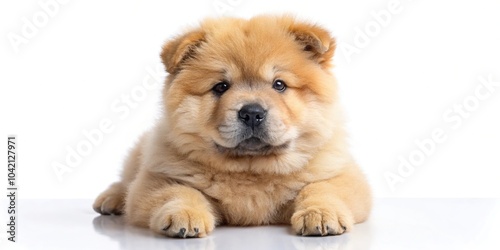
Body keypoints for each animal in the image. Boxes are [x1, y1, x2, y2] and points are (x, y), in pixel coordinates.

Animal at [93, 14, 372, 237]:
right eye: (221, 87)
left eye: (279, 85)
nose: (252, 112)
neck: (251, 170)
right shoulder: (158, 177)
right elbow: (178, 191)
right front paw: (186, 216)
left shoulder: (341, 173)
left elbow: (321, 188)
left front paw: (321, 214)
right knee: (126, 180)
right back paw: (111, 198)